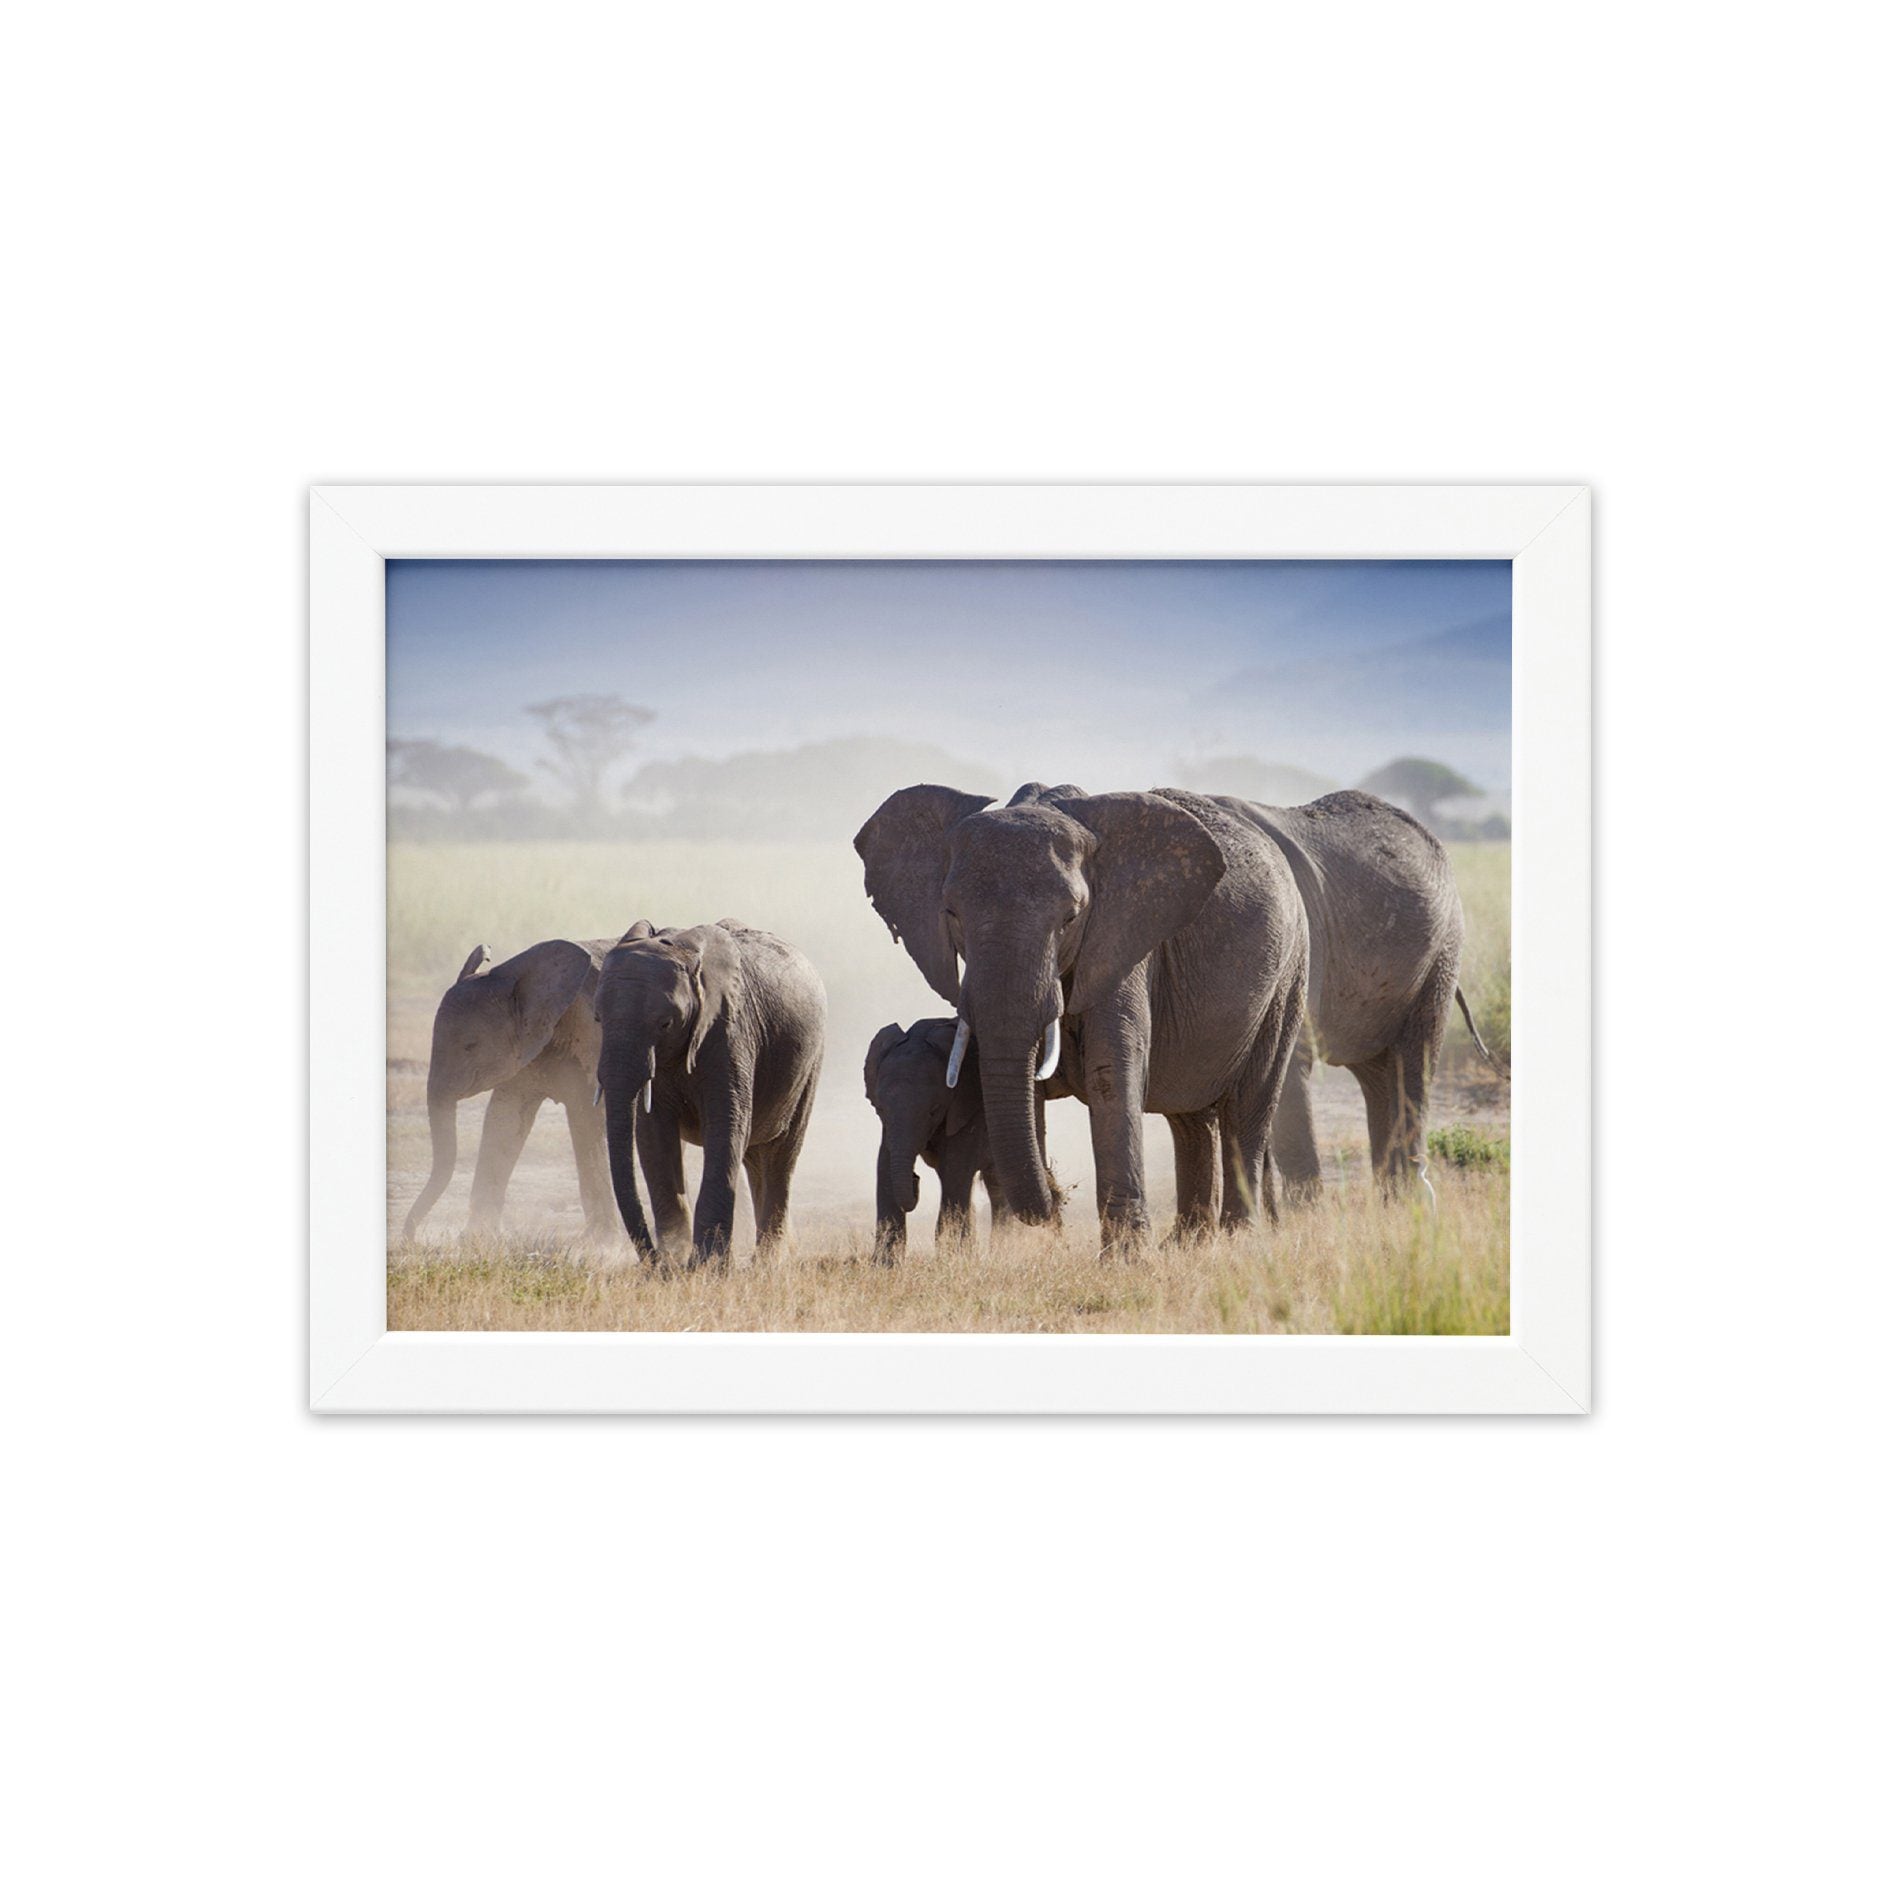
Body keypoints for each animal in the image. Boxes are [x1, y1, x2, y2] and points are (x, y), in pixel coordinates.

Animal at [402, 938, 618, 1242]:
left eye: (470, 1046)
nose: (412, 1238)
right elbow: (504, 1119)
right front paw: (475, 1238)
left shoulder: (591, 1037)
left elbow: (586, 1117)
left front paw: (600, 1242)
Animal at [594, 918, 827, 1265]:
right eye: (597, 1019)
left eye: (665, 1024)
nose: (653, 1263)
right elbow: (653, 1135)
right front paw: (675, 1258)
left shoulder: (730, 1031)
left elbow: (725, 1126)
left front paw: (706, 1265)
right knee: (756, 1157)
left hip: (810, 1065)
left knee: (780, 1156)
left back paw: (769, 1261)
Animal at [863, 1019, 1064, 1263]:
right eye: (879, 1109)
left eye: (934, 1110)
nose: (915, 1179)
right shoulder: (889, 1126)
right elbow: (884, 1164)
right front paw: (886, 1265)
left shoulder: (968, 1105)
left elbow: (955, 1168)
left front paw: (953, 1258)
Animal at [1211, 789, 1500, 1200]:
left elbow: (1289, 1064)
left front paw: (1306, 1212)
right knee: (1378, 1073)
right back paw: (1398, 1201)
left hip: (1442, 951)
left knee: (1412, 1062)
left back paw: (1412, 1202)